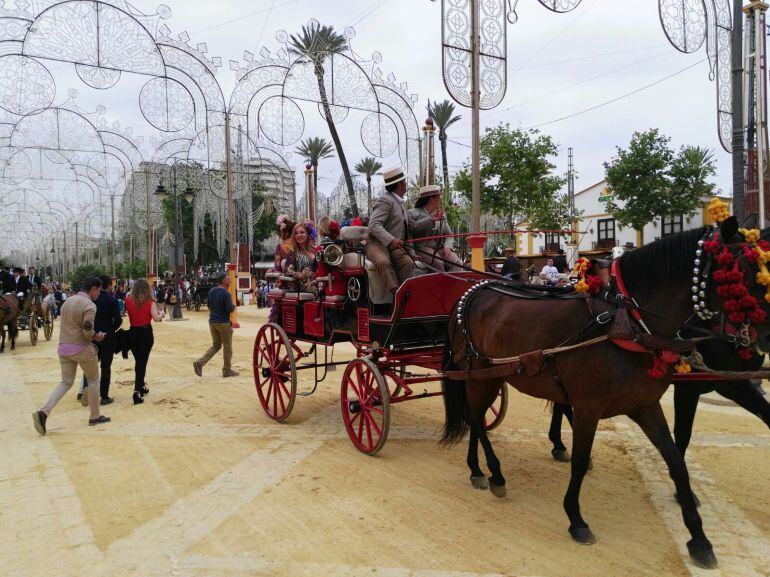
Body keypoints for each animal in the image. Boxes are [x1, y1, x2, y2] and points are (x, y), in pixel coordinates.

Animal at [438, 217, 768, 572]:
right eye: (743, 269)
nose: (764, 337)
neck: (625, 324)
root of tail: (471, 293)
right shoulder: (589, 407)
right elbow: (580, 461)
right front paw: (576, 518)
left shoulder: (646, 404)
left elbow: (677, 460)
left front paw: (699, 538)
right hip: (478, 375)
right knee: (475, 418)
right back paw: (495, 473)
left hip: (491, 377)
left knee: (476, 419)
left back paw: (477, 469)